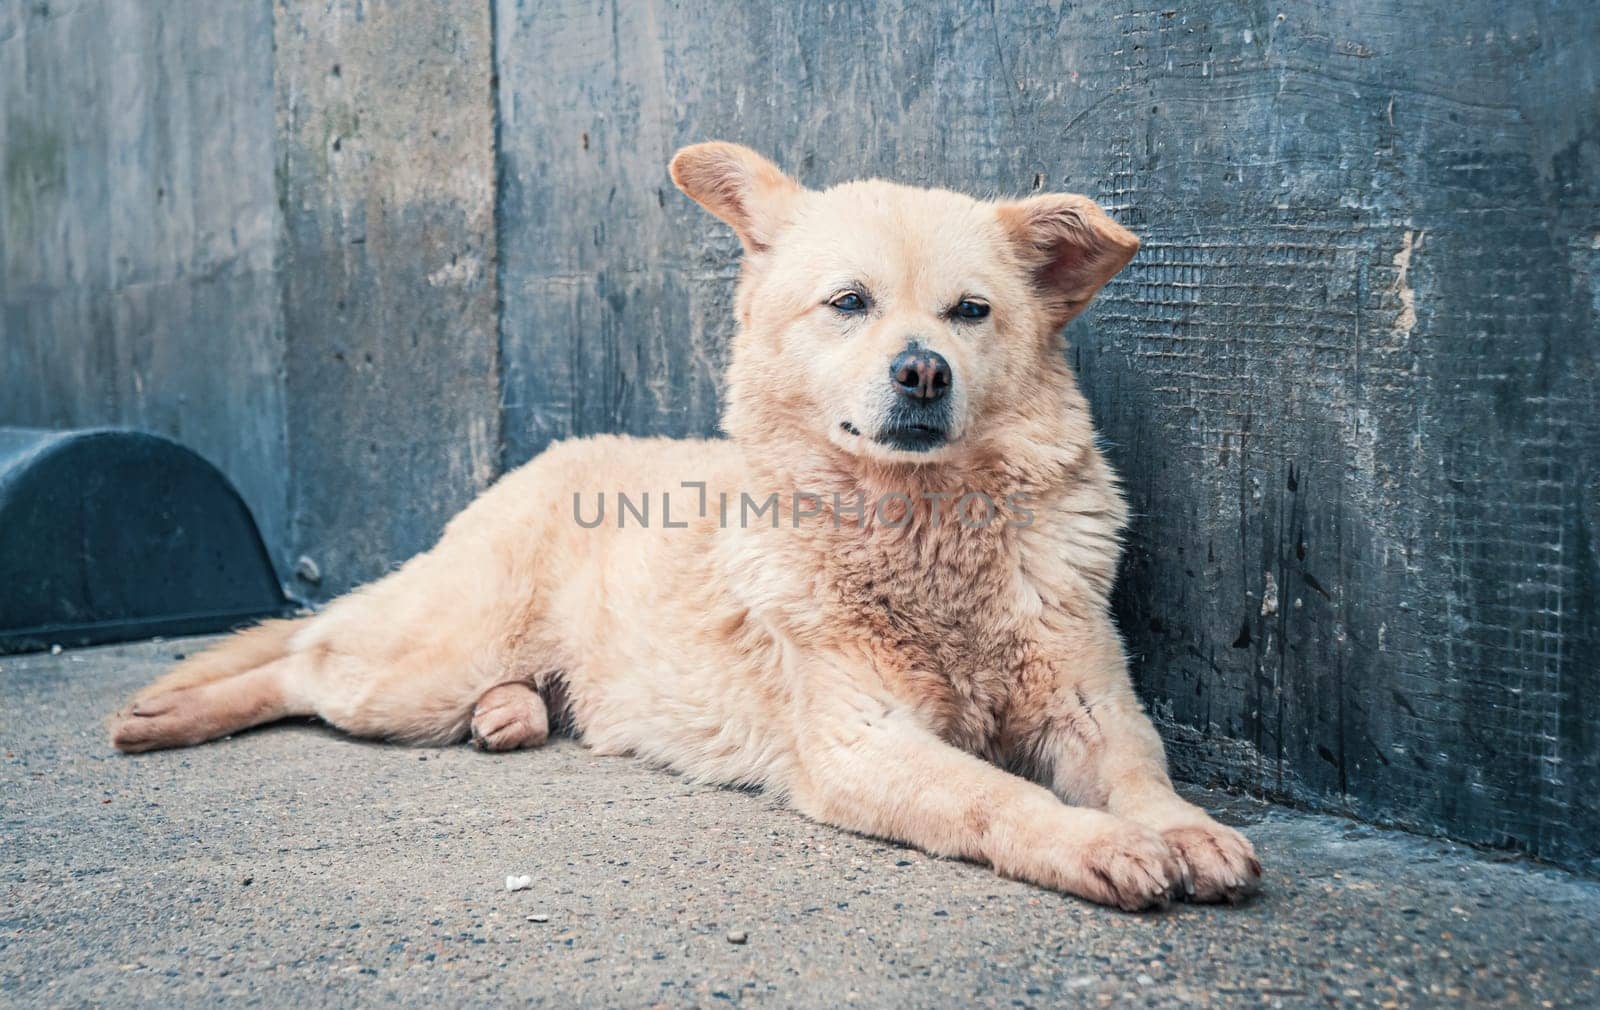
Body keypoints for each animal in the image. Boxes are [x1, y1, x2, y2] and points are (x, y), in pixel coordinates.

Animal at [112, 146, 1260, 915]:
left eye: (970, 312)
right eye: (850, 303)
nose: (922, 372)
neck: (920, 528)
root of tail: (536, 462)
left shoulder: (1092, 707)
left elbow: (1142, 774)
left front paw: (1186, 830)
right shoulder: (863, 744)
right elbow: (995, 797)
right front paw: (1094, 845)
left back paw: (509, 716)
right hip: (421, 667)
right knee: (302, 662)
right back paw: (167, 717)